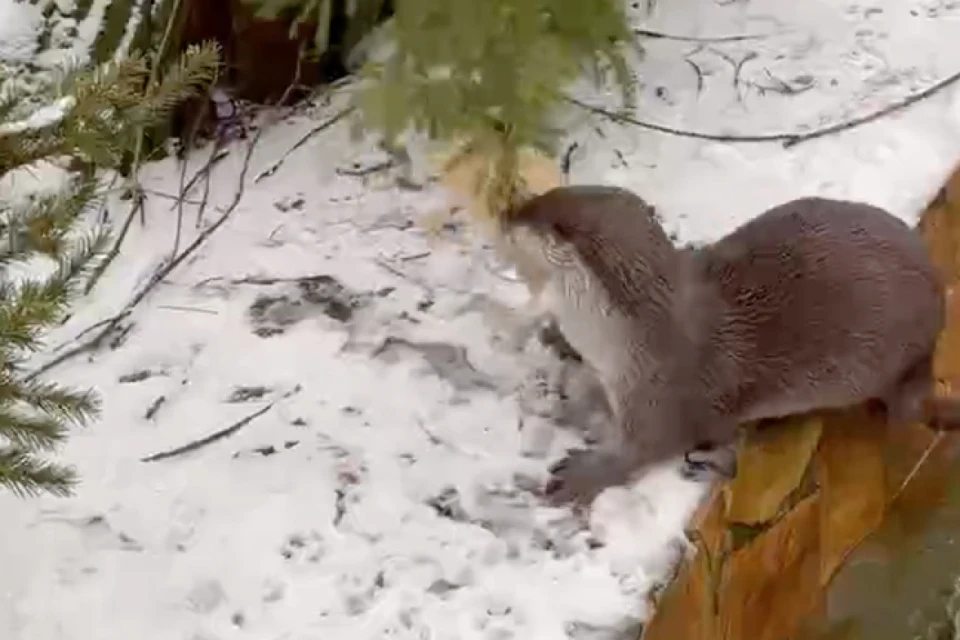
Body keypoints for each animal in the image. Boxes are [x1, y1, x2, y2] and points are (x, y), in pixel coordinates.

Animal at [498, 185, 960, 510]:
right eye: (544, 195)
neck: (619, 340)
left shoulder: (660, 397)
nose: (507, 213)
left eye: (549, 222)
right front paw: (556, 338)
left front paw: (582, 474)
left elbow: (642, 449)